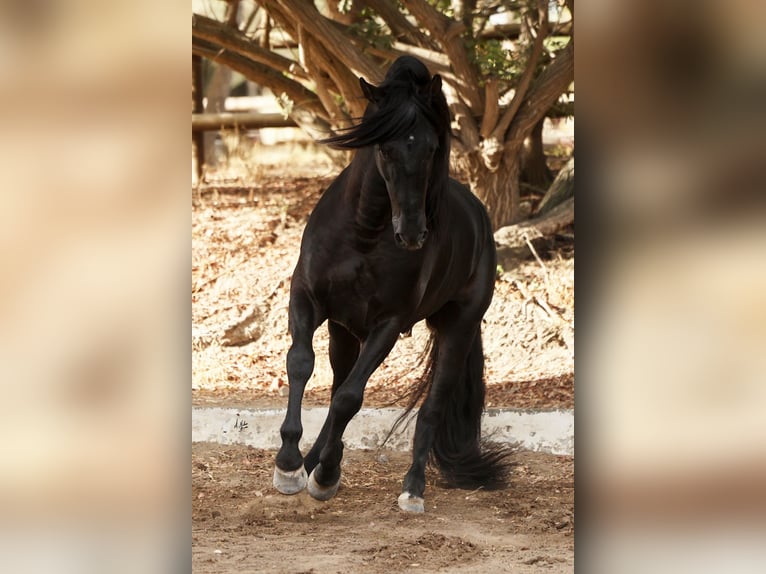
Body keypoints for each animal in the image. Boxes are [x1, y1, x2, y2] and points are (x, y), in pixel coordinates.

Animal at [272, 55, 512, 513]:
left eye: (432, 148)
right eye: (385, 148)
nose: (413, 232)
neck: (362, 234)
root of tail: (479, 215)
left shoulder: (388, 324)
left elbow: (351, 397)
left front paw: (325, 475)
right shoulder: (307, 299)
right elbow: (302, 365)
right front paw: (291, 465)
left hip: (458, 328)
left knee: (431, 407)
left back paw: (411, 488)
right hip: (343, 332)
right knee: (337, 387)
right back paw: (313, 462)